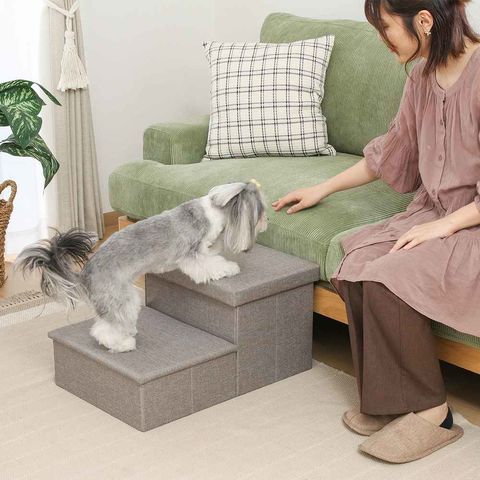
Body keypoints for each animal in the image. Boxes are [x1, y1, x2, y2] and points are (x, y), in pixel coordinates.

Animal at [14, 180, 268, 353]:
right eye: (260, 211)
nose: (268, 222)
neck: (213, 210)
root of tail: (84, 273)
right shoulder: (192, 256)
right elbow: (211, 265)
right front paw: (230, 268)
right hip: (121, 298)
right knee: (105, 329)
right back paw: (123, 343)